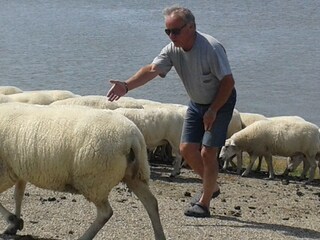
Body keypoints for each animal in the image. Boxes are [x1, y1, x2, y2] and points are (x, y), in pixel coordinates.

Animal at [0, 102, 166, 239]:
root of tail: (133, 137)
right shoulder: (18, 169)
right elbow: (18, 195)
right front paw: (14, 224)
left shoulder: (6, 170)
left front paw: (13, 221)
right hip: (134, 174)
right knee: (151, 203)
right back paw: (159, 236)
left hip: (94, 179)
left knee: (105, 212)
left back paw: (84, 237)